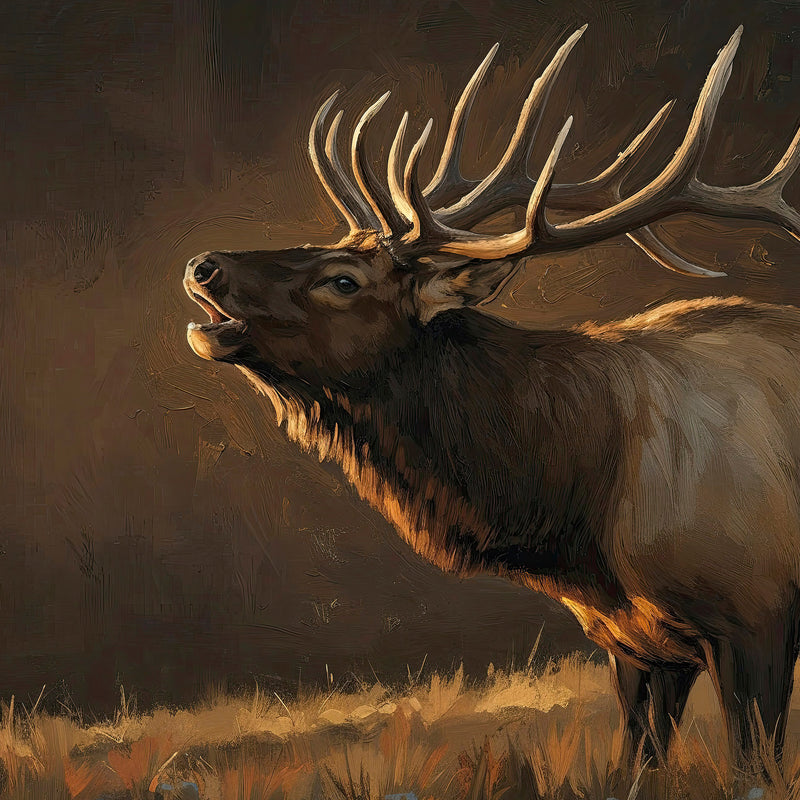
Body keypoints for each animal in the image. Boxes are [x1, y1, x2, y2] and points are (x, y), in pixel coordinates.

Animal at [182, 25, 800, 771]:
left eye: (344, 279)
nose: (204, 266)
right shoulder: (637, 644)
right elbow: (637, 767)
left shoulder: (757, 616)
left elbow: (754, 770)